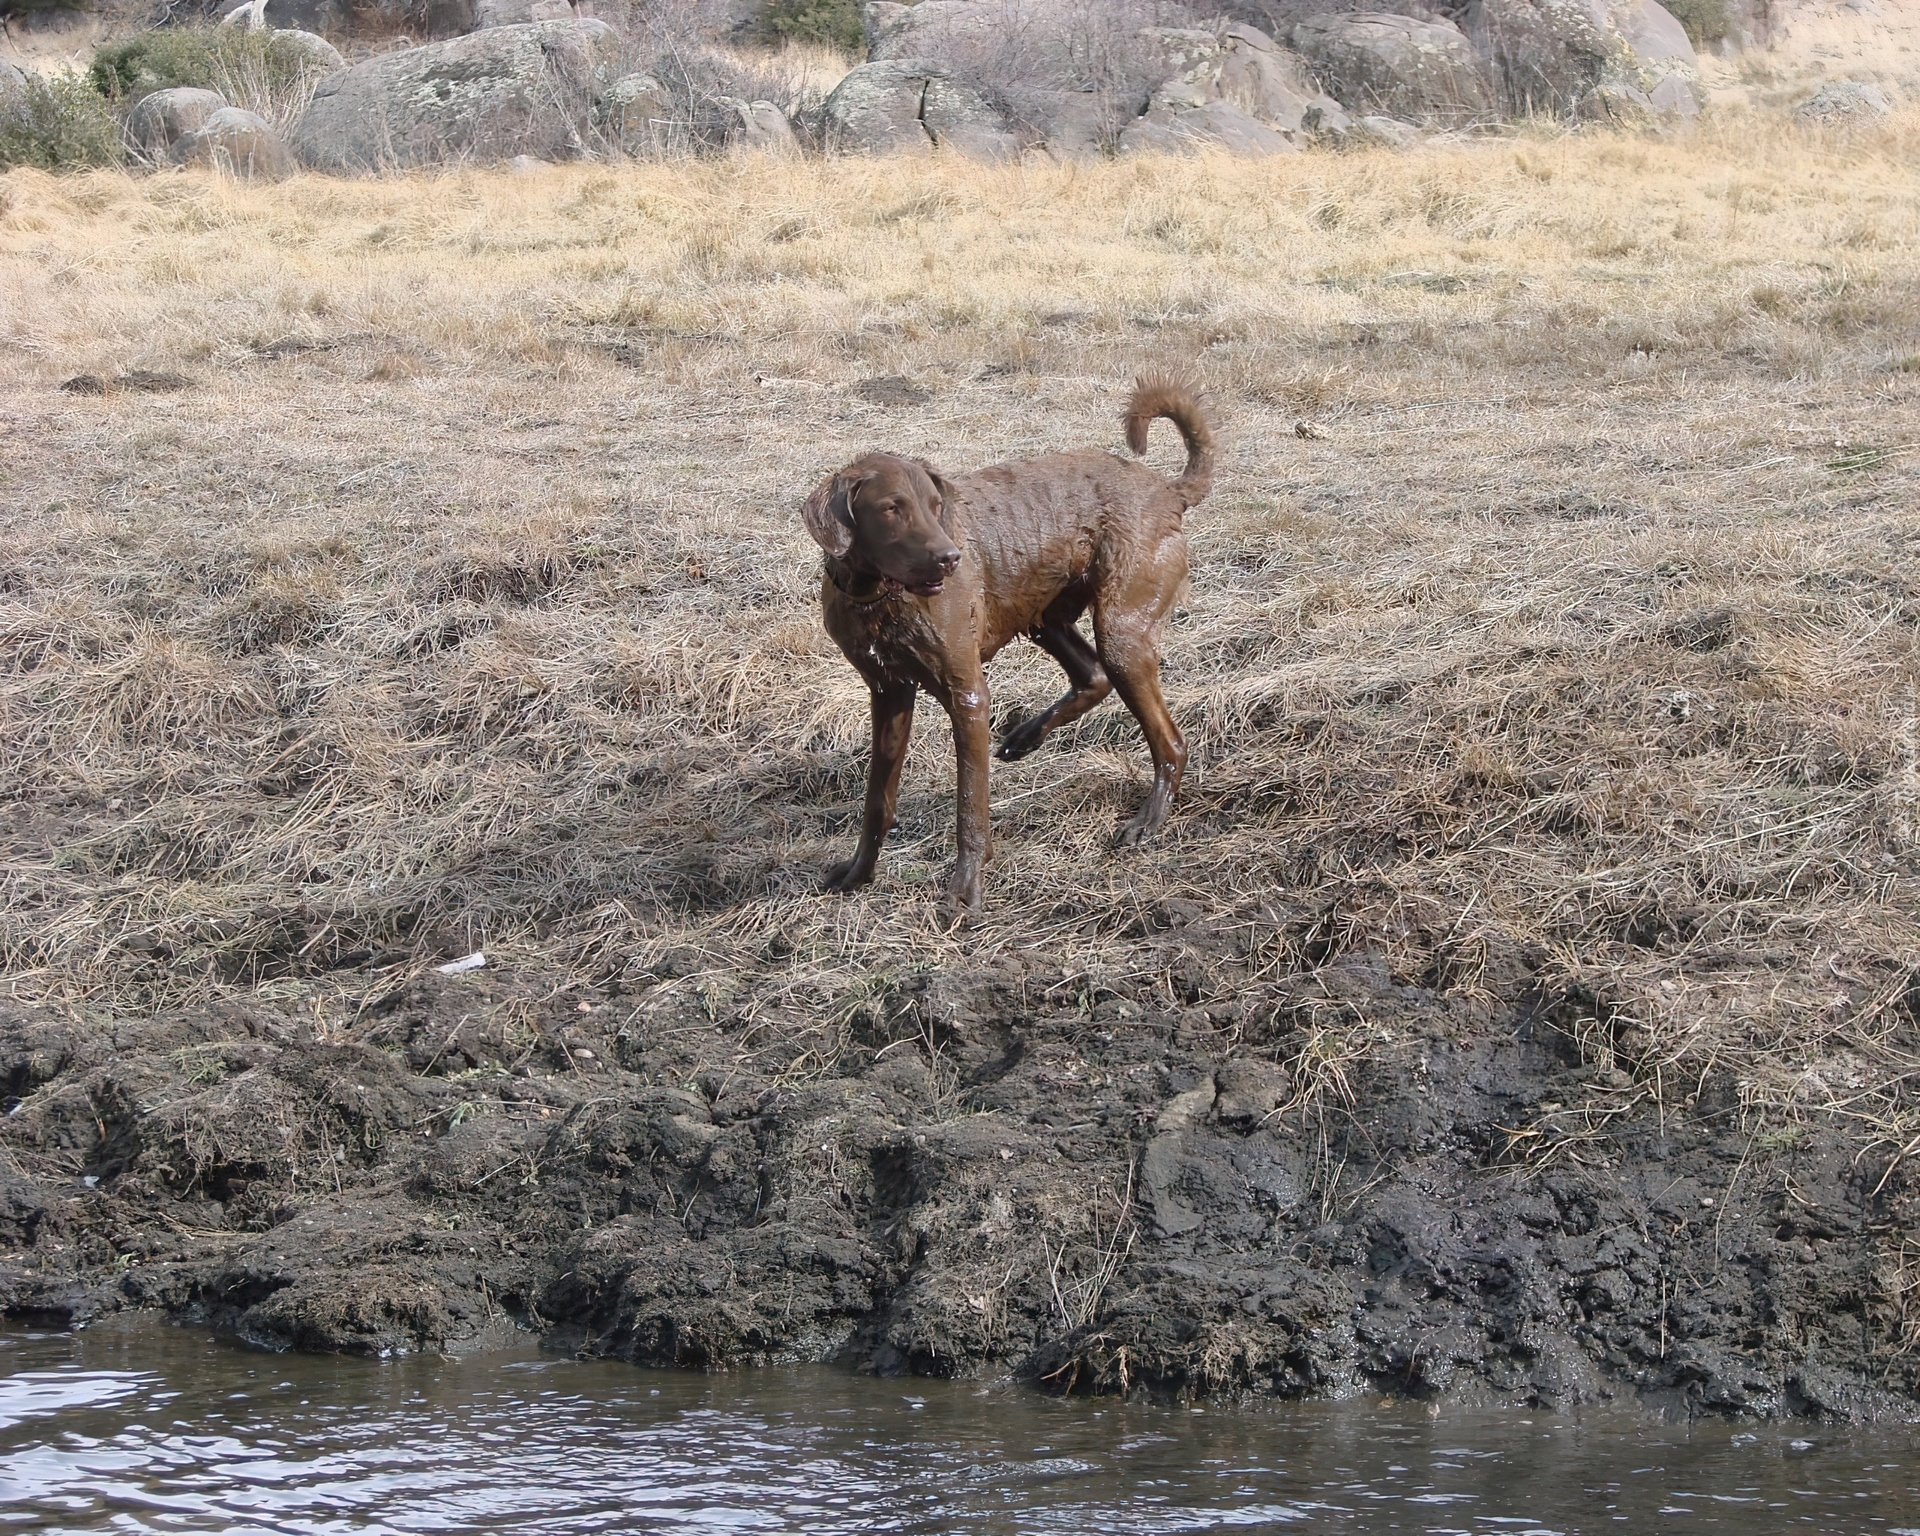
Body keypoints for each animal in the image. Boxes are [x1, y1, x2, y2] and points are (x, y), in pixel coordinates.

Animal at [802, 378, 1205, 913]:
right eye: (891, 509)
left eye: (936, 507)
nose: (950, 558)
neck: (877, 597)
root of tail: (1166, 489)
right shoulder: (888, 693)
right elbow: (877, 800)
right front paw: (858, 873)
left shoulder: (968, 695)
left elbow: (969, 804)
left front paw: (966, 889)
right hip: (1046, 616)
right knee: (1092, 675)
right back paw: (1026, 736)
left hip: (1122, 631)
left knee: (1170, 742)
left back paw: (1148, 821)